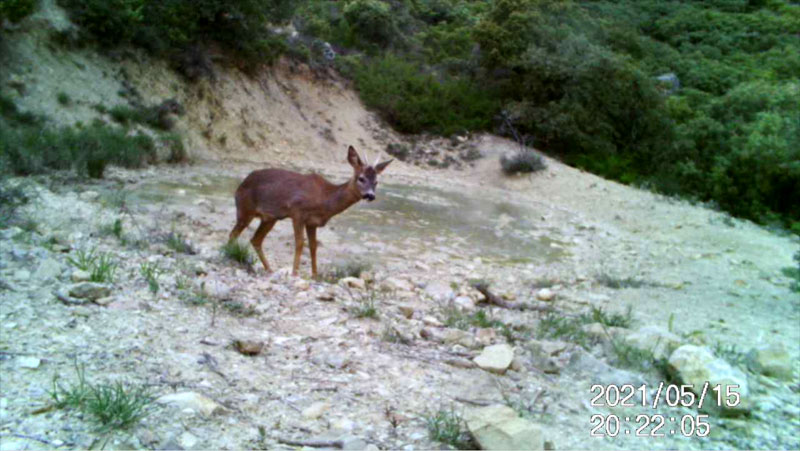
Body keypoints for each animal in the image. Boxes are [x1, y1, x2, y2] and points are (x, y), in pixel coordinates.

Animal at [228, 145, 390, 278]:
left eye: (376, 182)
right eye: (361, 178)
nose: (370, 195)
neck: (325, 198)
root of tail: (240, 186)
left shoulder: (312, 222)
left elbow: (313, 246)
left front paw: (314, 275)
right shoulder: (297, 212)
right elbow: (300, 243)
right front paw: (295, 273)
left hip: (270, 218)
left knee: (255, 240)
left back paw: (269, 270)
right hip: (245, 209)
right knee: (234, 234)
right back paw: (228, 255)